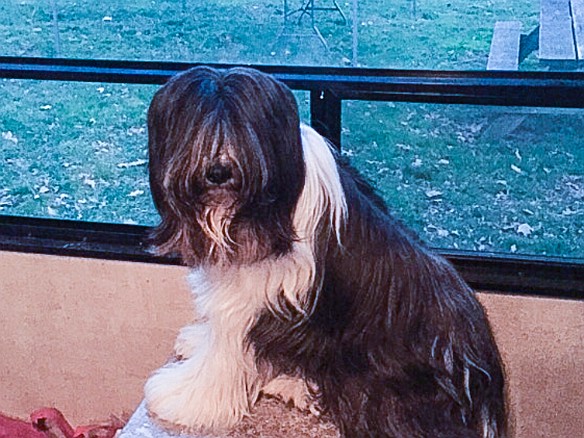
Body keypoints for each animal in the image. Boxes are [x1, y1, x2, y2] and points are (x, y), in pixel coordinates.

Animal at [145, 66, 506, 438]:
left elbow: (225, 352)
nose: (218, 171)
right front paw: (196, 343)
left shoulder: (253, 297)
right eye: (199, 131)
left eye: (241, 130)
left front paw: (184, 398)